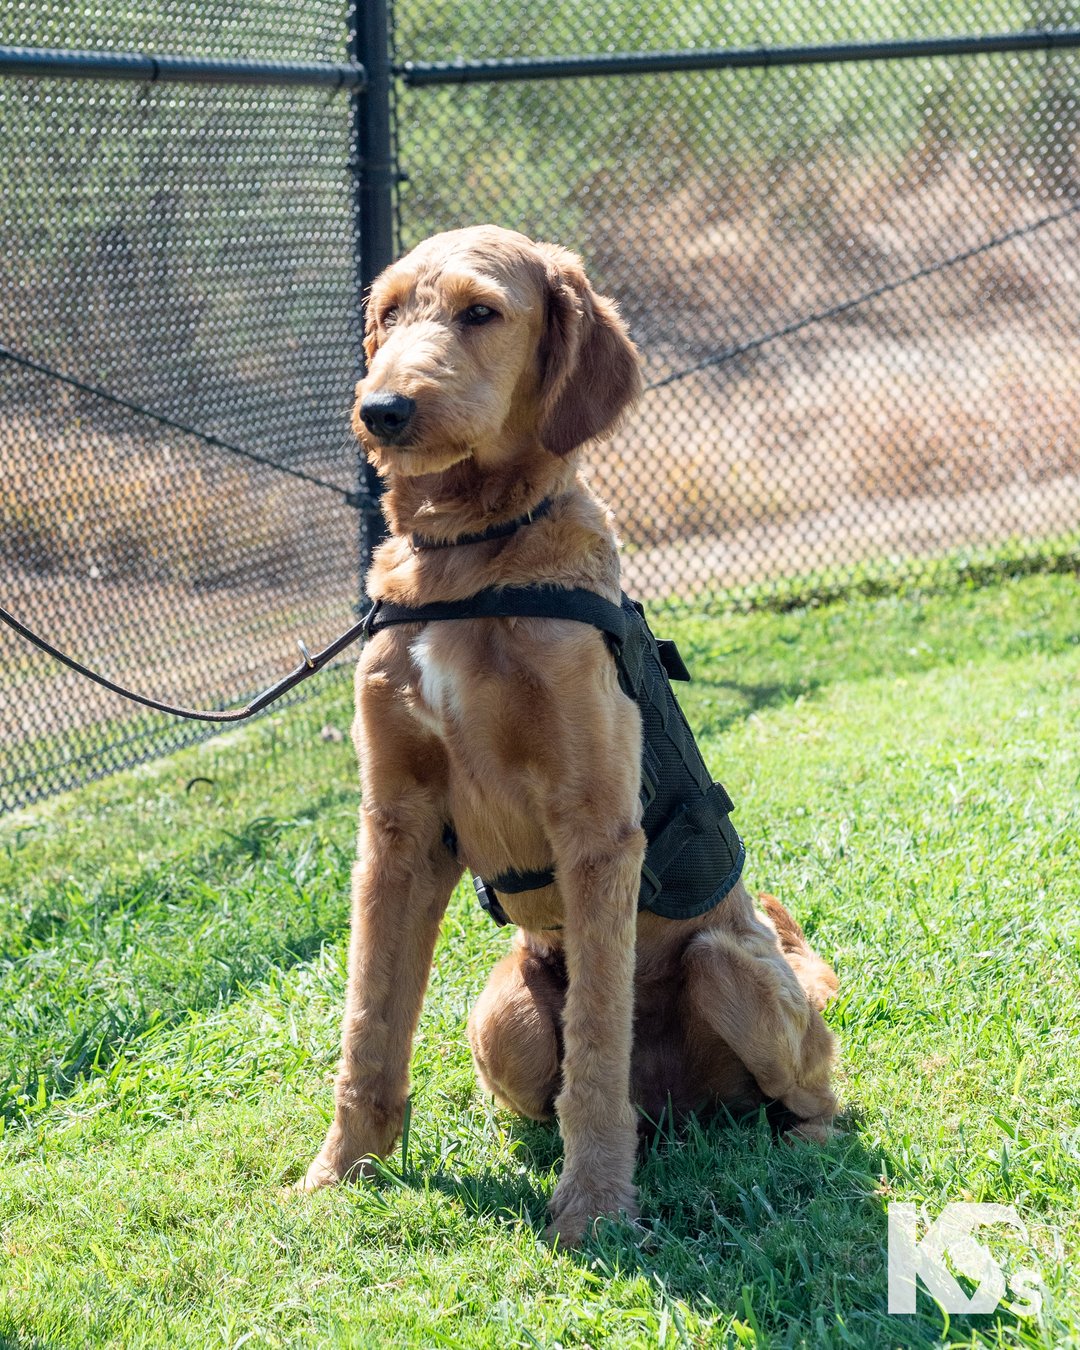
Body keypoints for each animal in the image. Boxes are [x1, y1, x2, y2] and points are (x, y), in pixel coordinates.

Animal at [299, 224, 837, 1242]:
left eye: (480, 312)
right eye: (386, 314)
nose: (381, 410)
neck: (468, 562)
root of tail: (676, 1111)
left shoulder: (596, 833)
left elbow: (594, 1053)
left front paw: (592, 1210)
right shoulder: (397, 828)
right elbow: (368, 1026)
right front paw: (338, 1174)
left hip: (731, 968)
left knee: (805, 1086)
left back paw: (805, 1149)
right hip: (502, 1014)